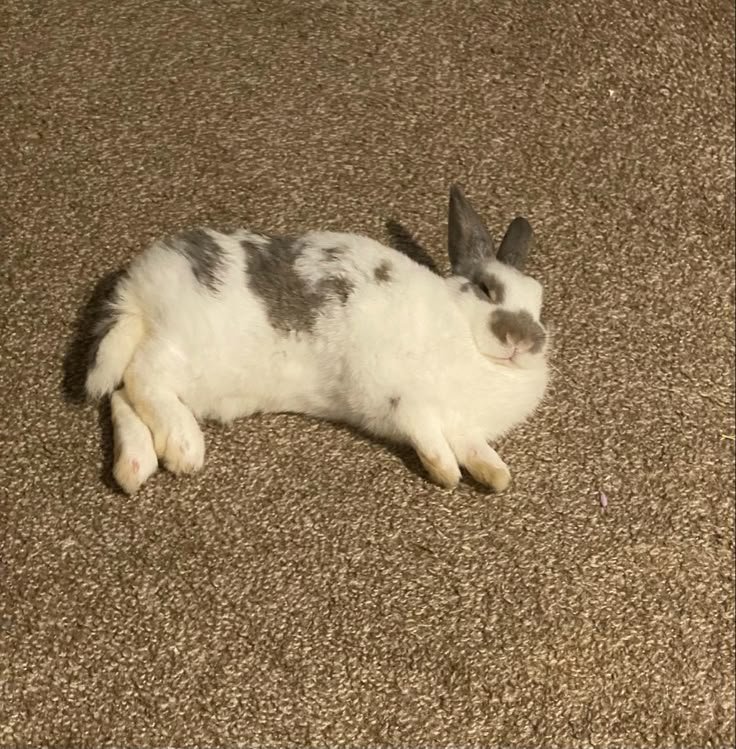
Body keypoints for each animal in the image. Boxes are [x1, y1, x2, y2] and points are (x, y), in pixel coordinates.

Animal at [85, 184, 550, 494]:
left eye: (540, 302)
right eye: (487, 290)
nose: (525, 339)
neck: (469, 343)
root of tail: (140, 286)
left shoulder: (462, 426)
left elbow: (474, 449)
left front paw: (496, 476)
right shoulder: (403, 400)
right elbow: (429, 437)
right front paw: (446, 474)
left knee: (122, 393)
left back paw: (135, 466)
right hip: (187, 346)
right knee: (142, 378)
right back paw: (184, 449)